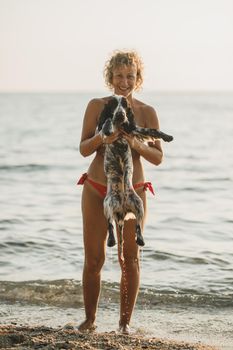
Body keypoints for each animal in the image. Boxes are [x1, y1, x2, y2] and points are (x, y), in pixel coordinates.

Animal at [97, 94, 173, 258]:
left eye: (125, 104)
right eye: (114, 104)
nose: (120, 114)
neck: (119, 126)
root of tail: (122, 210)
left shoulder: (133, 129)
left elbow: (151, 130)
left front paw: (167, 136)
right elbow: (105, 122)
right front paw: (108, 126)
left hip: (139, 205)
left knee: (137, 226)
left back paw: (140, 239)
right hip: (107, 204)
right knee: (110, 225)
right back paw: (111, 240)